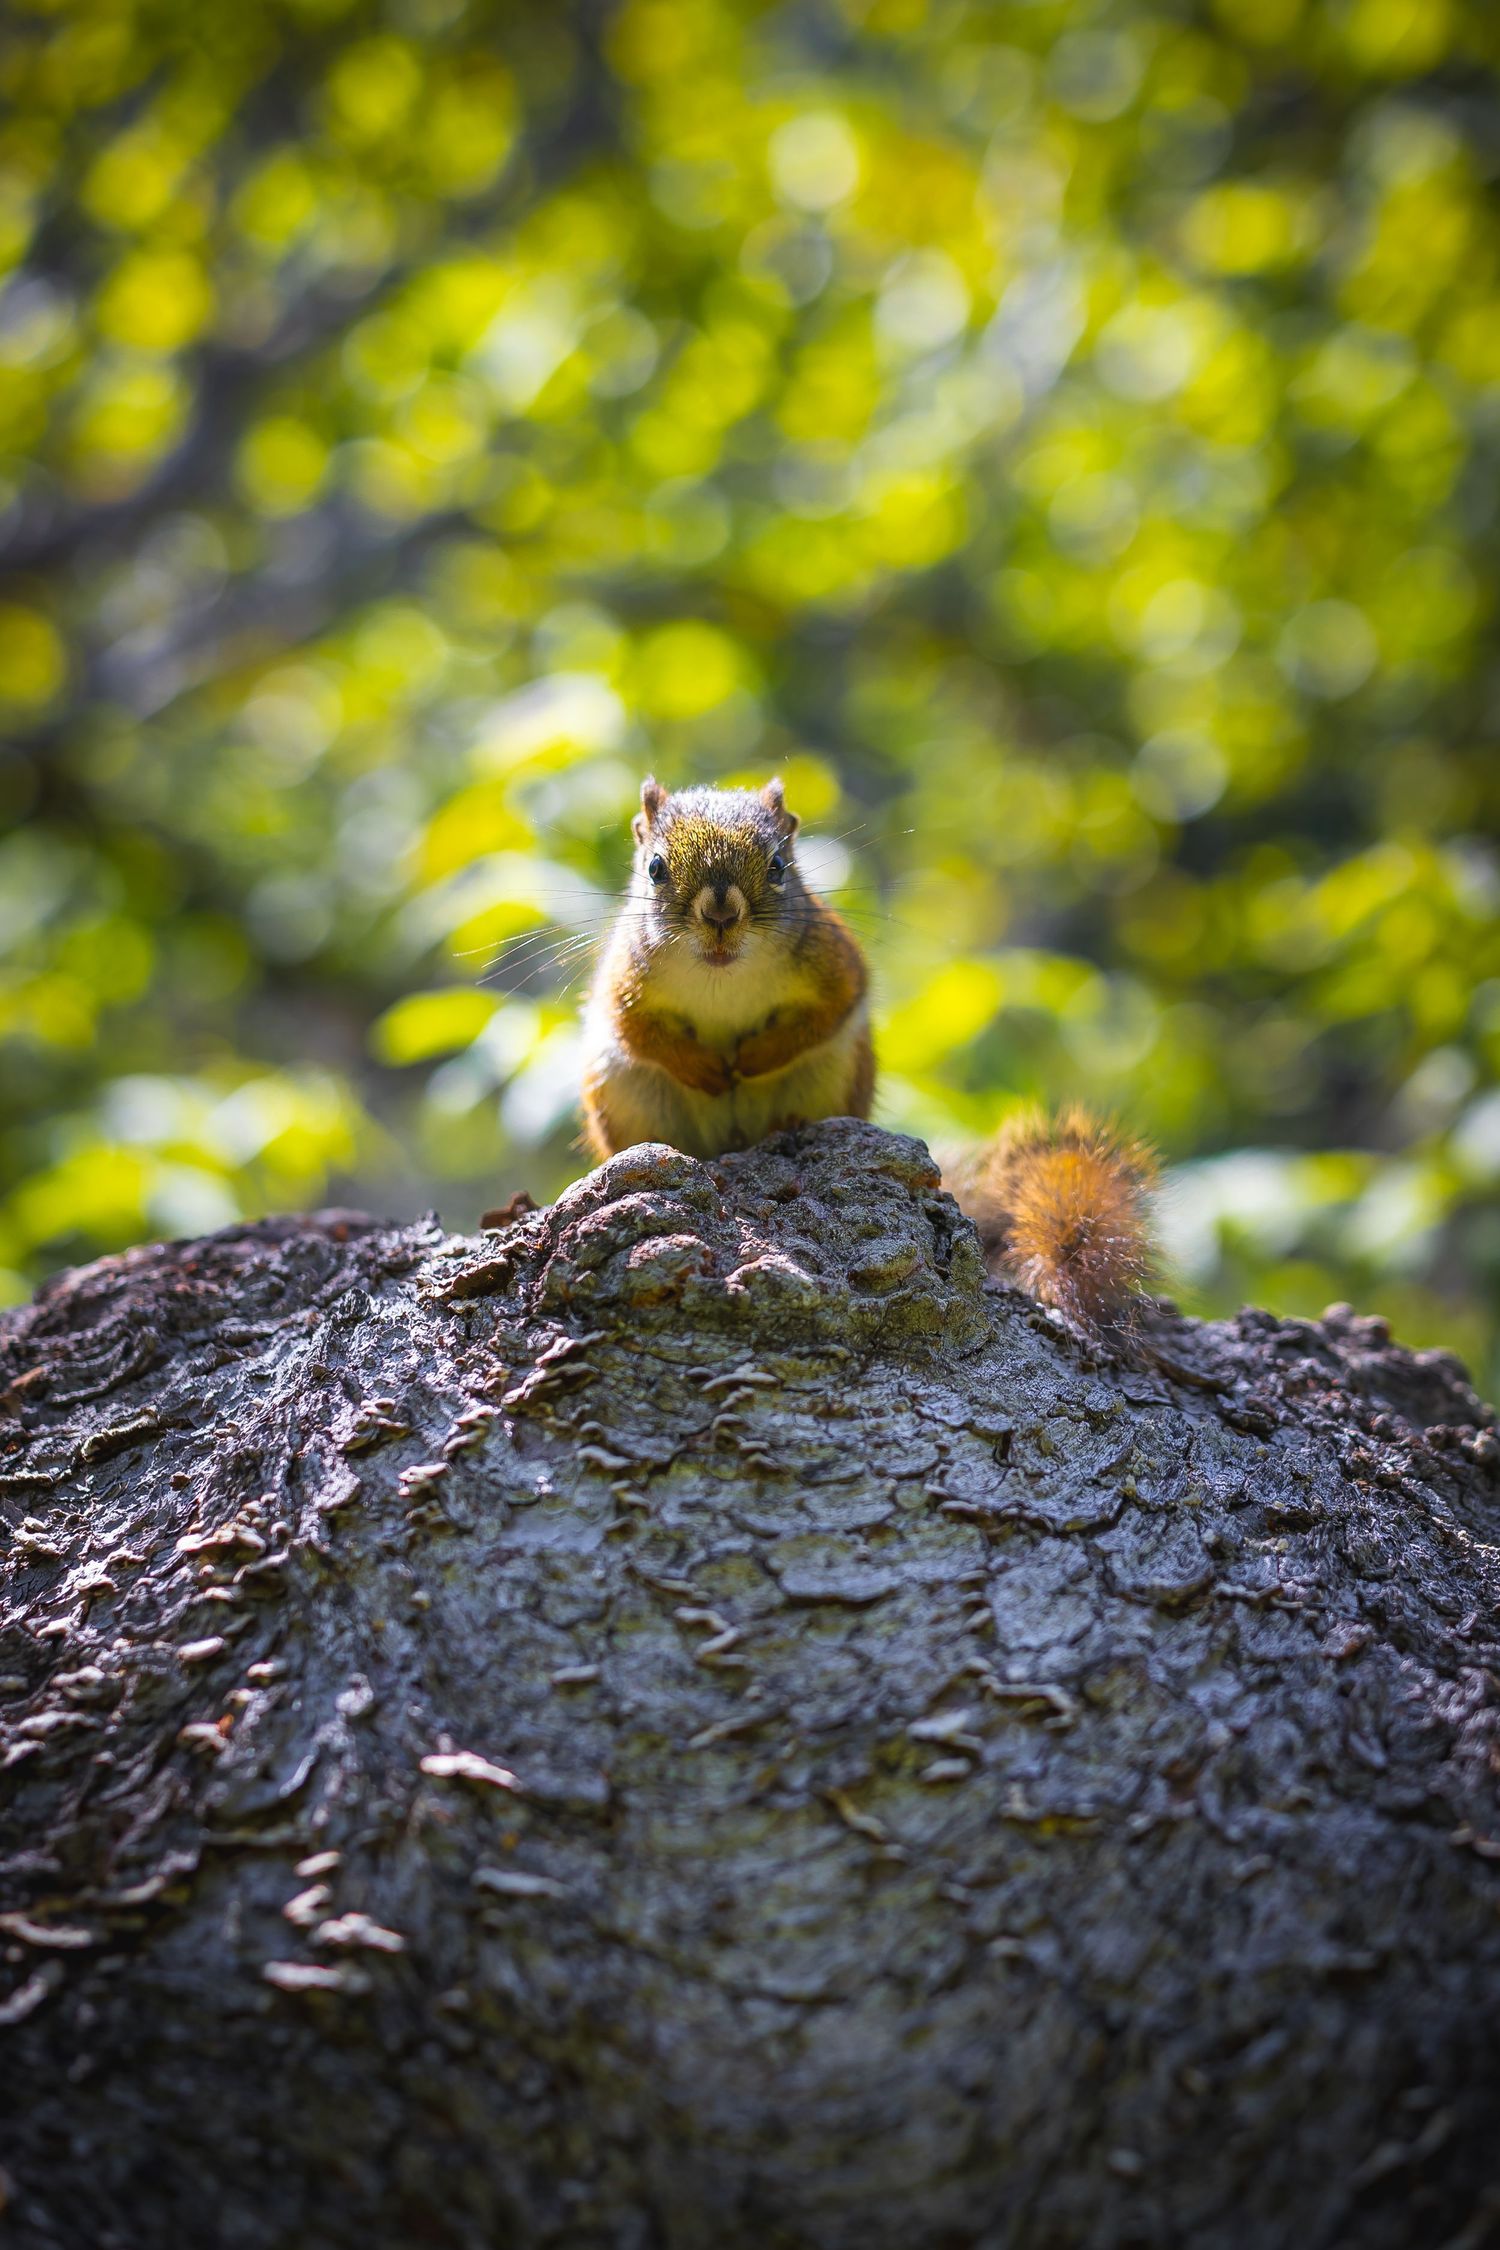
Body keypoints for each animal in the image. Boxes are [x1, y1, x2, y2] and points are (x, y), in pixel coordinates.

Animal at [581, 776, 1156, 1335]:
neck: (721, 973)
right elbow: (638, 1033)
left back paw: (789, 1125)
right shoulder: (624, 984)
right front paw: (706, 1069)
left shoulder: (836, 964)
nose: (720, 913)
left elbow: (827, 1014)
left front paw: (756, 1058)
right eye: (655, 868)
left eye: (778, 865)